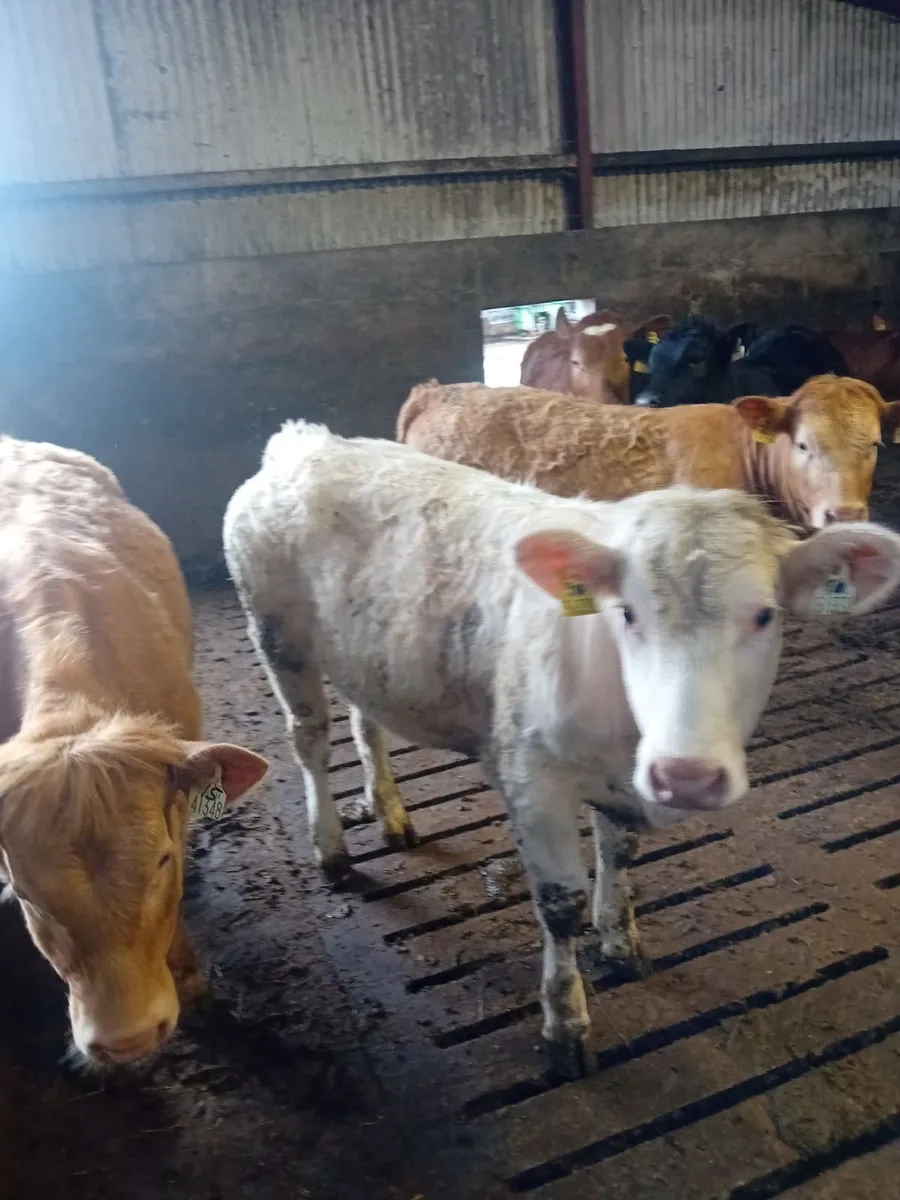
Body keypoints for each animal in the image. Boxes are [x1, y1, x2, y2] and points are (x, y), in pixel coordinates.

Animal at [223, 419, 900, 1076]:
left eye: (765, 615)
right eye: (626, 613)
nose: (687, 775)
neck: (622, 728)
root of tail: (306, 439)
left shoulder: (623, 780)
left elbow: (620, 855)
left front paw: (621, 943)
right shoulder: (532, 780)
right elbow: (560, 905)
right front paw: (565, 1022)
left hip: (368, 655)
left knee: (369, 724)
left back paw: (391, 813)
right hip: (277, 634)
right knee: (310, 741)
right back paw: (332, 849)